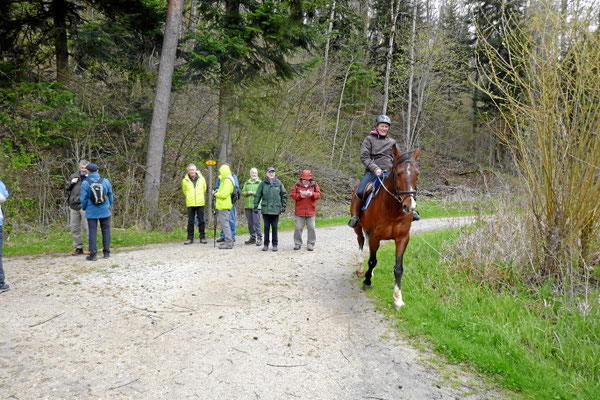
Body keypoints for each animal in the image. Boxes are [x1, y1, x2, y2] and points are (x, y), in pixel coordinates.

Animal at [352, 147, 422, 310]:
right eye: (399, 173)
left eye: (417, 173)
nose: (409, 206)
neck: (393, 210)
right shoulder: (375, 236)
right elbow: (372, 261)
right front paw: (367, 282)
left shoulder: (402, 238)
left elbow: (398, 268)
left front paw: (398, 299)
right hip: (358, 227)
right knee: (361, 242)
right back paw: (361, 270)